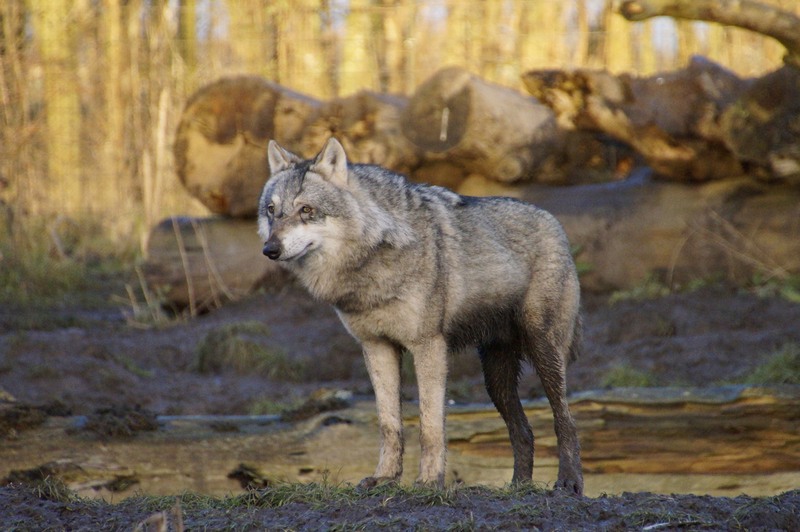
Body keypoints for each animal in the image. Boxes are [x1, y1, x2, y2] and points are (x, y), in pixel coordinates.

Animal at [258, 138, 583, 494]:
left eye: (306, 210)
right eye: (272, 210)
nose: (270, 250)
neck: (375, 258)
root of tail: (553, 221)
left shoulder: (428, 346)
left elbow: (430, 425)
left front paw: (429, 480)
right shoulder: (377, 347)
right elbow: (389, 425)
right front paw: (385, 477)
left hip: (544, 352)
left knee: (565, 419)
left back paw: (569, 482)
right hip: (495, 380)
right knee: (523, 430)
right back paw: (518, 487)